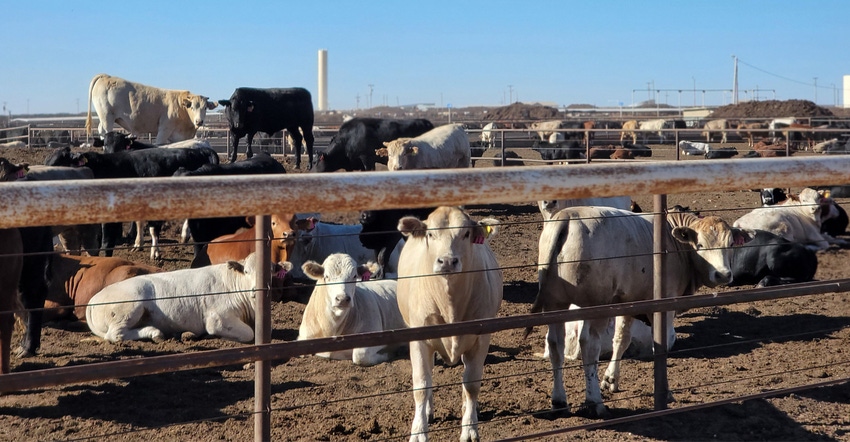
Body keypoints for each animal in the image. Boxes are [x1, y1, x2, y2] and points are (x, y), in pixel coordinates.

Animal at [85, 73, 217, 144]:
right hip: (107, 117)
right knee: (106, 131)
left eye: (205, 108)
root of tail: (106, 76)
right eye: (192, 107)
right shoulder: (164, 129)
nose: (199, 121)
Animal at [85, 252, 292, 342]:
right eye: (247, 271)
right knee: (116, 335)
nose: (256, 289)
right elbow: (249, 334)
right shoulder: (218, 318)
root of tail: (93, 300)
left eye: (271, 272)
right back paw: (155, 333)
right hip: (129, 307)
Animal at [394, 207, 500, 442]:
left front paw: (469, 428)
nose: (448, 261)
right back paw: (428, 411)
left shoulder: (481, 339)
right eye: (430, 234)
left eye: (466, 234)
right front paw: (419, 431)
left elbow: (471, 384)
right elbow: (422, 385)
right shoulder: (419, 340)